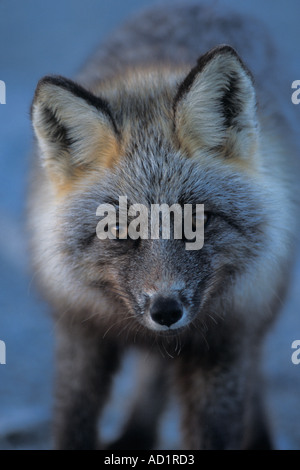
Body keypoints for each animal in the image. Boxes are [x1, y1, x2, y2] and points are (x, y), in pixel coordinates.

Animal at [27, 1, 298, 450]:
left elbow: (215, 430)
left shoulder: (227, 341)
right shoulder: (79, 330)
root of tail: (199, 6)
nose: (166, 310)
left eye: (198, 222)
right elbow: (73, 420)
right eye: (118, 230)